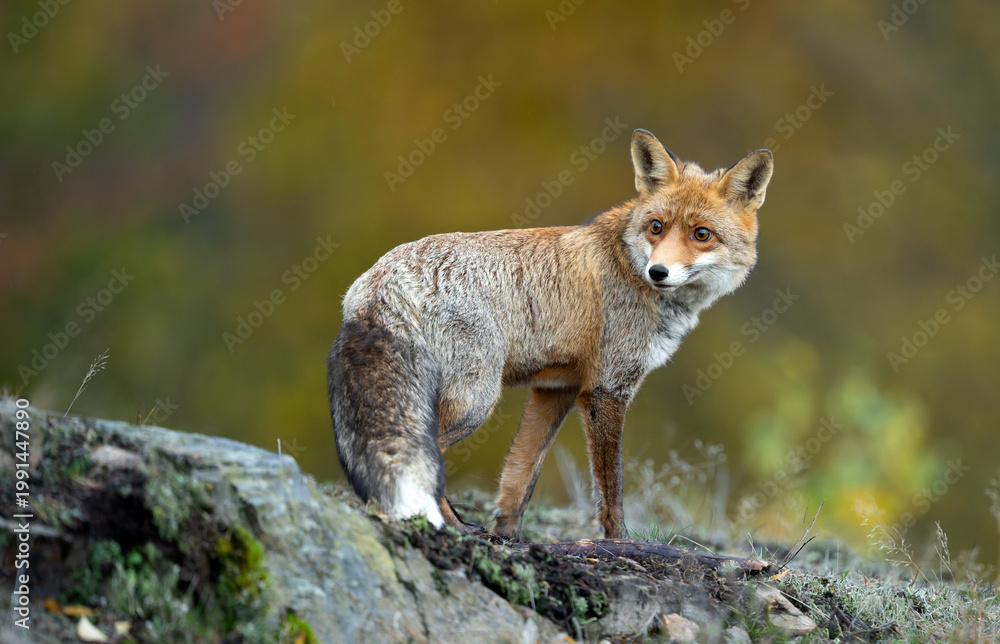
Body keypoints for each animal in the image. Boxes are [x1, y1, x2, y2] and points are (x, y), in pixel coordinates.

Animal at [328, 129, 773, 540]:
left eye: (702, 234)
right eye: (656, 227)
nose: (658, 272)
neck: (627, 262)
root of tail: (382, 274)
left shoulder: (555, 390)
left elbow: (520, 478)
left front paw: (508, 536)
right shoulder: (606, 389)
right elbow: (611, 490)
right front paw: (619, 542)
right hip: (476, 398)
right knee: (428, 452)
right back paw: (452, 525)